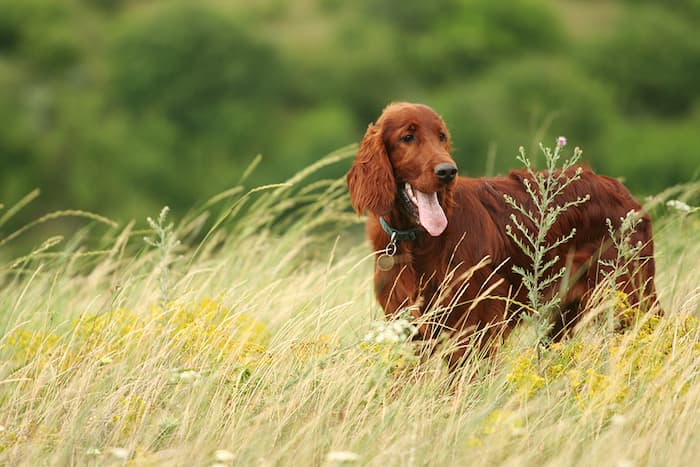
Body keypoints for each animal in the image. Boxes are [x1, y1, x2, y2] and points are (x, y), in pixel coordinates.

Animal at [348, 103, 660, 366]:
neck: (415, 237)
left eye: (441, 136)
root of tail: (625, 195)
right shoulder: (408, 328)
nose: (448, 171)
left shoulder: (475, 326)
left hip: (631, 297)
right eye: (408, 137)